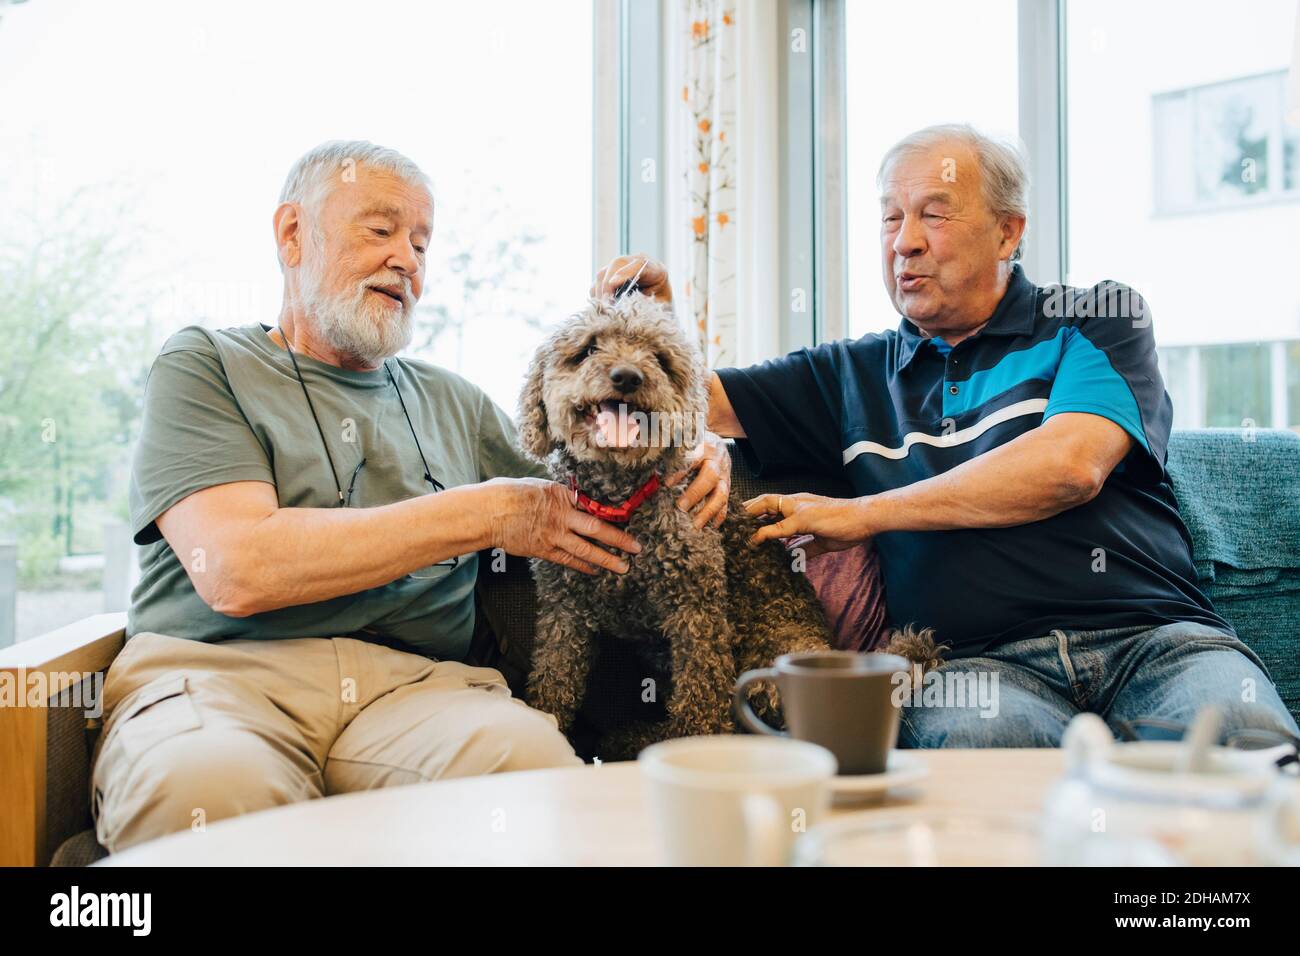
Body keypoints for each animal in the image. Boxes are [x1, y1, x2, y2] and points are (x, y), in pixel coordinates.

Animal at [517, 291, 832, 754]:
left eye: (659, 358)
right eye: (588, 348)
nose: (627, 376)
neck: (621, 500)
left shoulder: (696, 610)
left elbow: (702, 696)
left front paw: (699, 743)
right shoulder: (563, 608)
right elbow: (553, 680)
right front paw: (549, 722)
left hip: (775, 665)